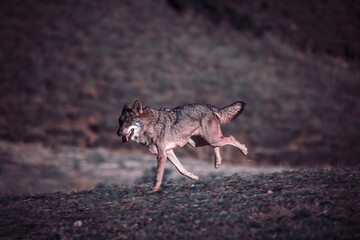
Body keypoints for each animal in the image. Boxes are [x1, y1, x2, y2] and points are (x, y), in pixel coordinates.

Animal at [118, 99, 248, 191]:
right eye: (120, 121)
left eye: (128, 121)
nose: (118, 133)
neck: (150, 126)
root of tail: (209, 106)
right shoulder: (168, 153)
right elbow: (181, 170)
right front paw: (194, 177)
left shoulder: (162, 155)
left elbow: (158, 175)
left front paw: (154, 190)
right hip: (199, 143)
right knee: (218, 145)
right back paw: (218, 163)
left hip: (211, 139)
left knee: (230, 138)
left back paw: (244, 150)